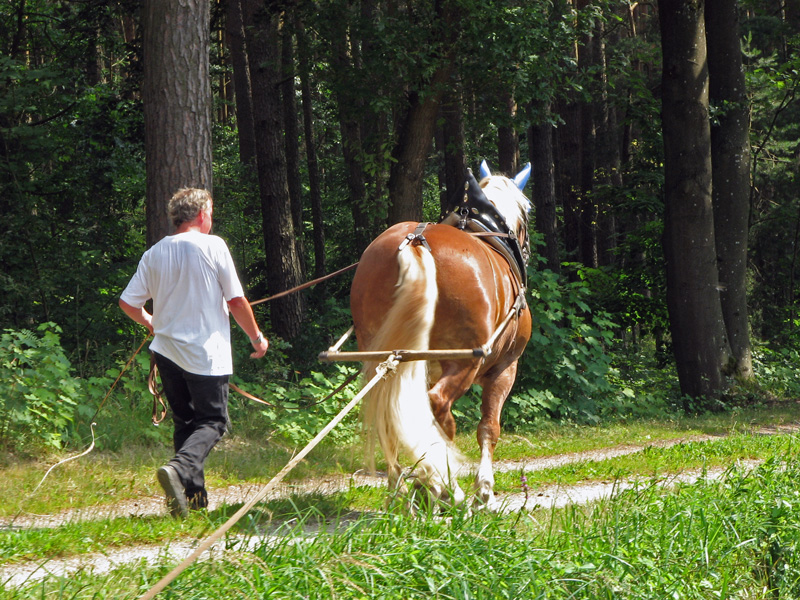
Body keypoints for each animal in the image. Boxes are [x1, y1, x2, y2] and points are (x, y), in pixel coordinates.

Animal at [348, 164, 532, 506]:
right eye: (528, 213)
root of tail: (416, 241)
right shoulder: (505, 368)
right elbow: (489, 427)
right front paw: (484, 489)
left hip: (385, 359)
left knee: (389, 415)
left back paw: (402, 488)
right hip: (464, 362)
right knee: (439, 409)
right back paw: (446, 488)